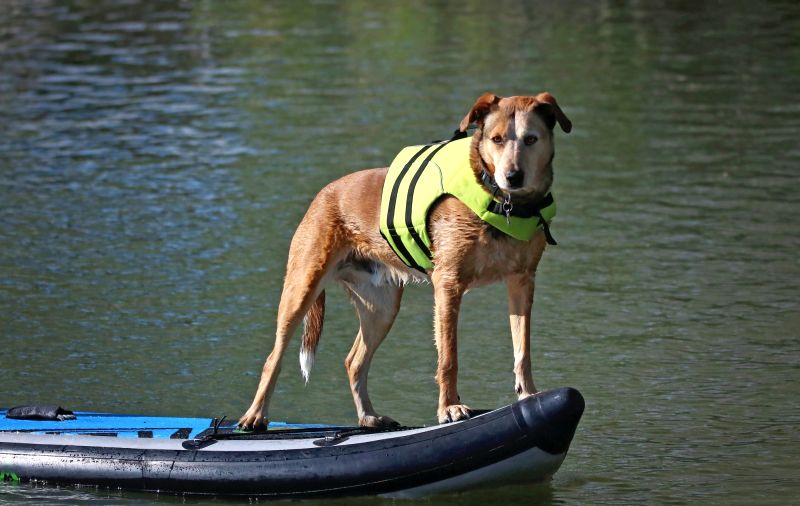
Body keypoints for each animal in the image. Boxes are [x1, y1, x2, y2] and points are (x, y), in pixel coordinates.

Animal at [238, 93, 568, 428]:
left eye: (531, 139)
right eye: (497, 139)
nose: (513, 176)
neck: (503, 202)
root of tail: (322, 195)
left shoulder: (522, 281)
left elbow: (522, 350)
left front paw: (529, 395)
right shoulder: (448, 285)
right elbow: (449, 357)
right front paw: (449, 408)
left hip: (381, 307)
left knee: (354, 362)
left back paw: (369, 417)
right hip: (302, 288)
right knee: (273, 358)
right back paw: (255, 415)